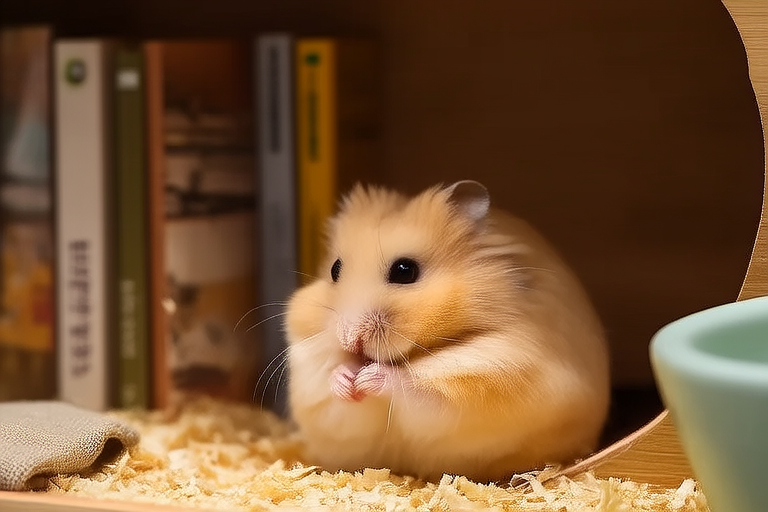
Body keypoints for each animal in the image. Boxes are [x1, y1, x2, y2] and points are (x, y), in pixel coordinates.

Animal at [284, 180, 610, 483]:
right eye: (334, 269)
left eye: (405, 271)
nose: (349, 338)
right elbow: (333, 394)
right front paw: (344, 378)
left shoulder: (485, 380)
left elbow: (415, 390)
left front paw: (369, 377)